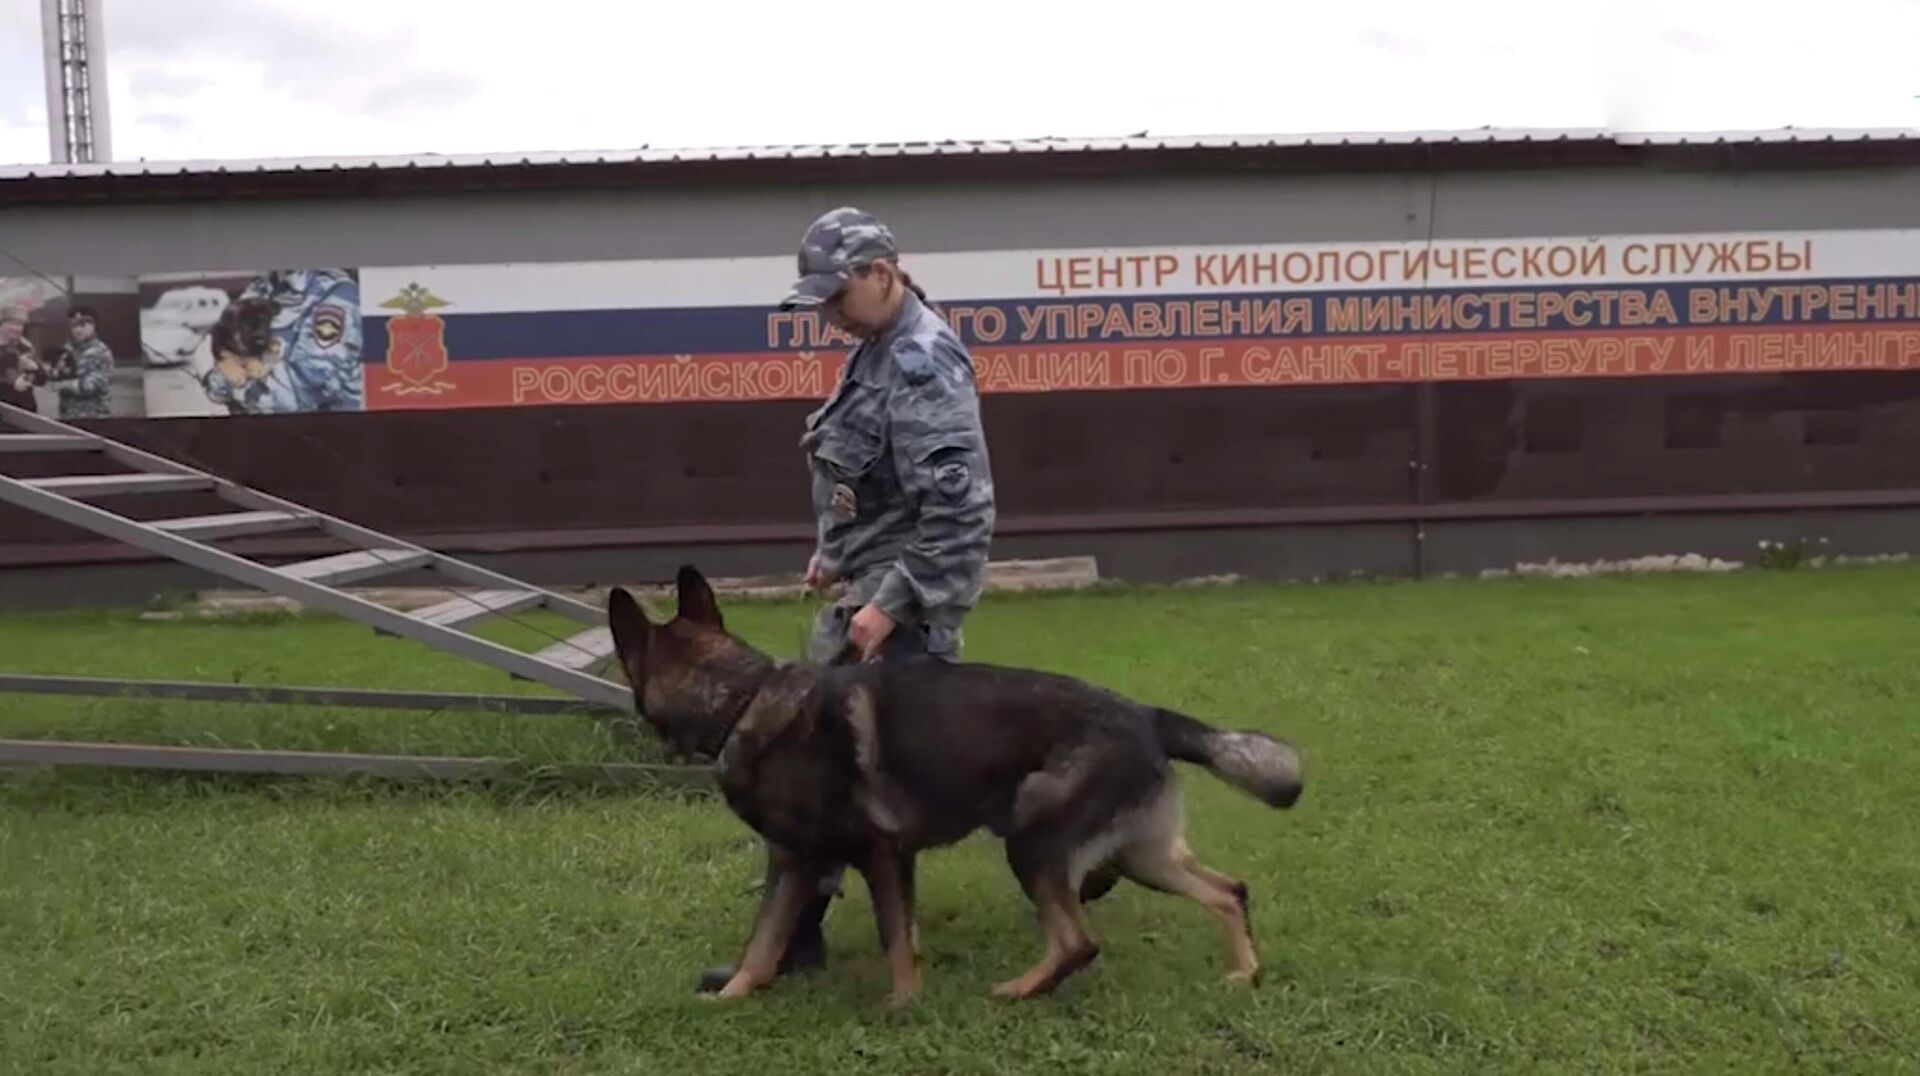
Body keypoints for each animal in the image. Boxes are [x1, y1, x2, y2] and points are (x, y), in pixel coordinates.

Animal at [614, 568, 1305, 1006]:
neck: (742, 699)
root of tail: (1146, 714)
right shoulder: (795, 864)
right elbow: (762, 944)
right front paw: (732, 997)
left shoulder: (880, 856)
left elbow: (896, 939)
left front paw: (902, 1006)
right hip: (1142, 855)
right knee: (1228, 892)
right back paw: (1245, 974)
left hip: (1034, 844)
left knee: (1079, 941)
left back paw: (1019, 991)